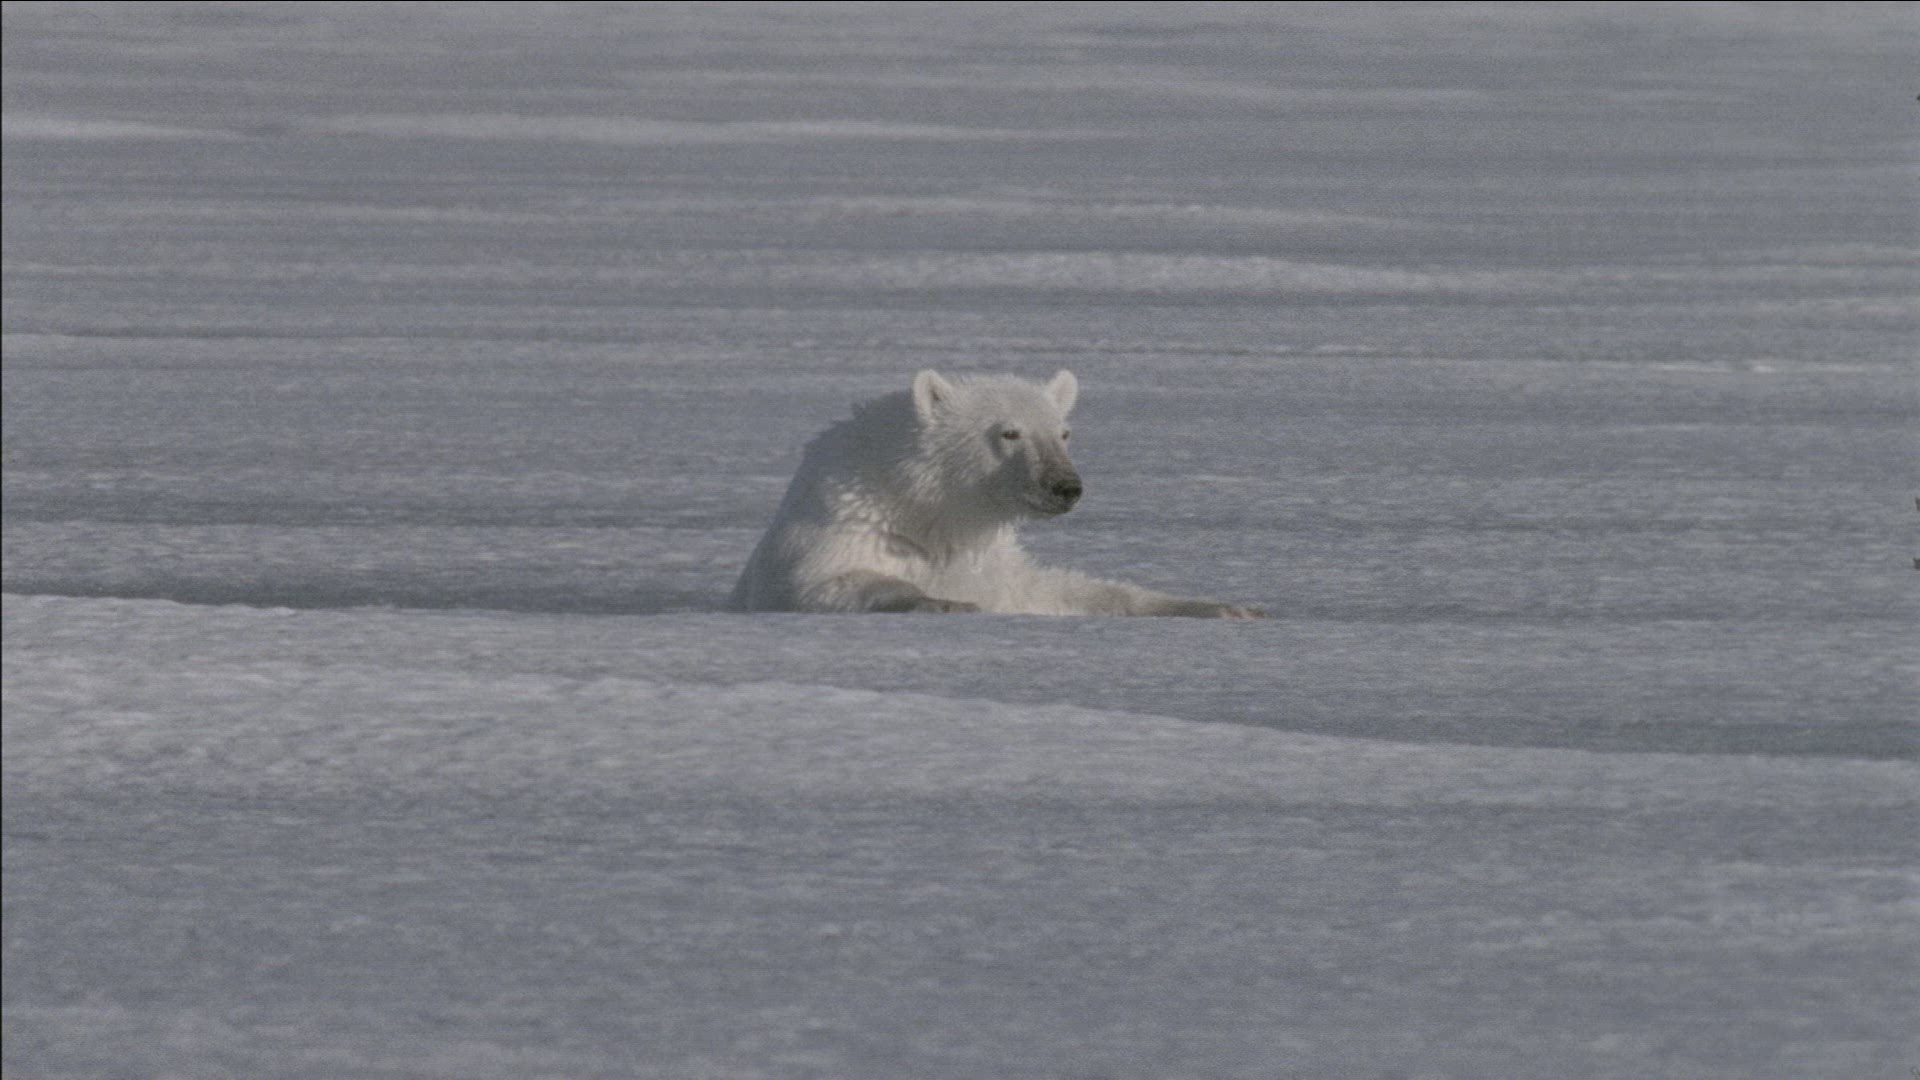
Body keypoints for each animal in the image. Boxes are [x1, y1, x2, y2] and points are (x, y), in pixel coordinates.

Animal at [728, 369, 1265, 618]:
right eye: (1010, 433)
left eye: (1062, 432)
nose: (1066, 487)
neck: (932, 511)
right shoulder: (844, 527)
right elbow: (829, 583)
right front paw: (951, 604)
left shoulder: (990, 560)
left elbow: (1064, 591)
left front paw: (1227, 607)